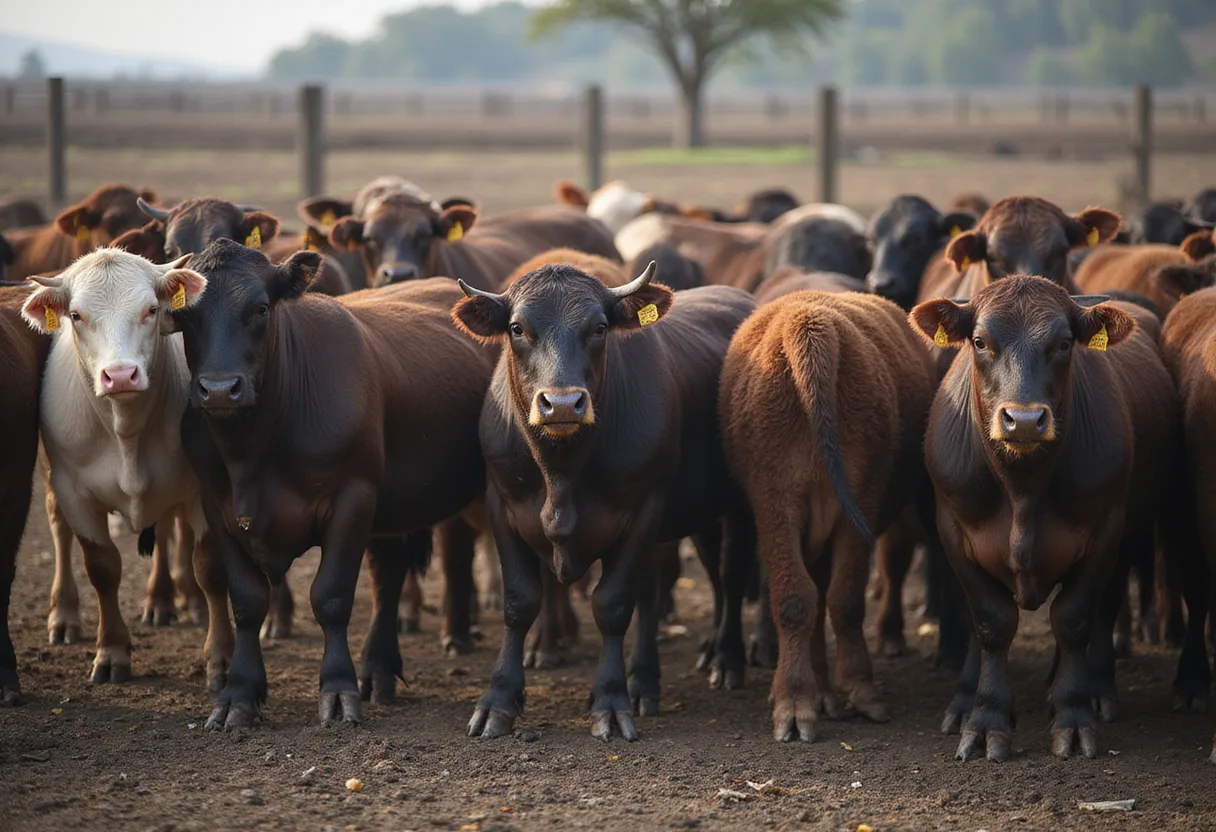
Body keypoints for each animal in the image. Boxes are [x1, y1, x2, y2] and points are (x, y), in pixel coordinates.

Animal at [20, 249, 232, 689]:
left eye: (152, 309)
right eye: (76, 315)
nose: (120, 376)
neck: (126, 431)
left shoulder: (203, 488)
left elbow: (209, 566)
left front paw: (221, 658)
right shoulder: (73, 491)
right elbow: (102, 568)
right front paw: (111, 652)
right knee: (58, 529)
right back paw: (64, 615)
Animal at [174, 240, 496, 728]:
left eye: (261, 308)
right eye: (183, 314)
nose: (220, 389)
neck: (252, 451)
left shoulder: (353, 497)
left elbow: (331, 596)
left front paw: (339, 690)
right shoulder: (218, 507)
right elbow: (247, 601)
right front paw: (239, 694)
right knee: (389, 573)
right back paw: (379, 668)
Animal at [453, 262, 755, 740]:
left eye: (598, 327)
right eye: (518, 328)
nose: (561, 404)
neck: (560, 472)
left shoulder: (643, 511)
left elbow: (612, 605)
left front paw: (611, 701)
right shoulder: (503, 506)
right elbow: (519, 602)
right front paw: (498, 699)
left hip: (739, 506)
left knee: (730, 574)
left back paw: (726, 659)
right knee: (672, 584)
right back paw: (650, 678)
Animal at [719, 291, 935, 742]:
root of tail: (809, 330)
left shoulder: (859, 508)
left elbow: (845, 600)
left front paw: (860, 688)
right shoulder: (775, 508)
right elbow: (794, 601)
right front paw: (794, 702)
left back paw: (824, 689)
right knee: (809, 599)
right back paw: (815, 690)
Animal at [910, 276, 1178, 760]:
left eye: (1064, 342)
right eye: (980, 341)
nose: (1024, 420)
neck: (1022, 489)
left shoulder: (1106, 530)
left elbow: (1074, 619)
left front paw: (1072, 713)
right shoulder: (953, 530)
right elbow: (990, 623)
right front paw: (984, 717)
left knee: (1104, 609)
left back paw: (1093, 688)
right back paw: (963, 699)